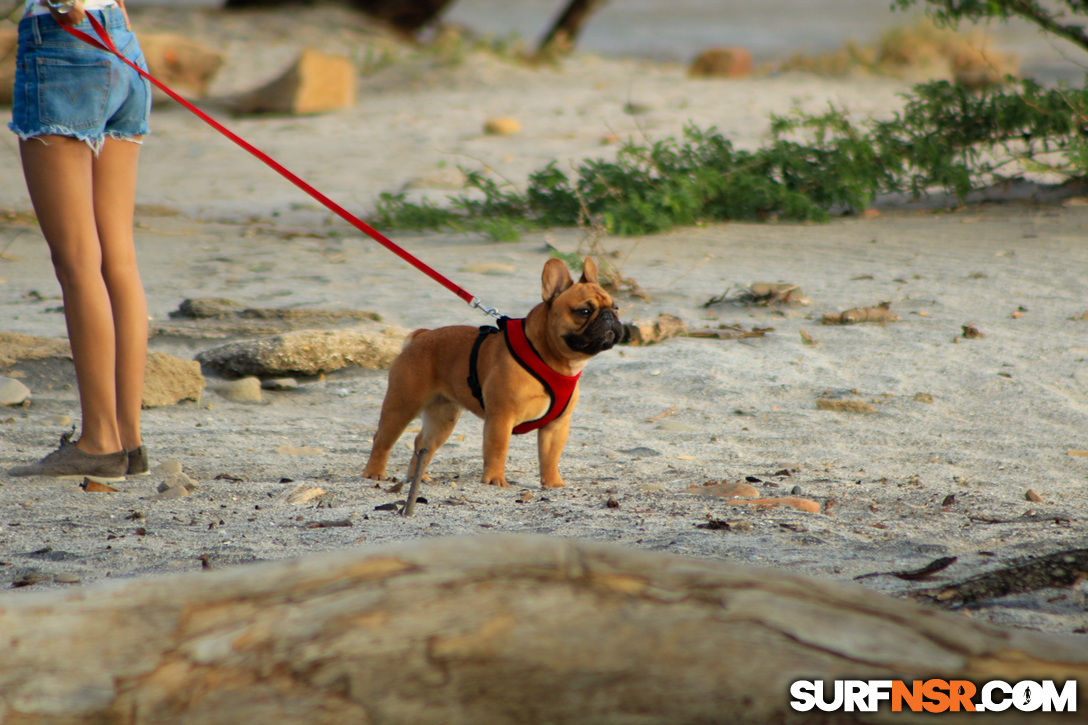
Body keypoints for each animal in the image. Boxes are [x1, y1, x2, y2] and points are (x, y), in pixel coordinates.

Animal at [363, 256, 622, 487]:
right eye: (584, 311)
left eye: (616, 307)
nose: (610, 317)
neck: (552, 359)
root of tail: (420, 336)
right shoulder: (501, 417)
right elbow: (498, 448)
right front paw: (495, 480)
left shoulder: (556, 426)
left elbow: (550, 457)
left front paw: (553, 484)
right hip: (402, 404)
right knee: (382, 440)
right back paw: (374, 473)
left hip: (442, 417)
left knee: (422, 443)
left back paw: (418, 478)